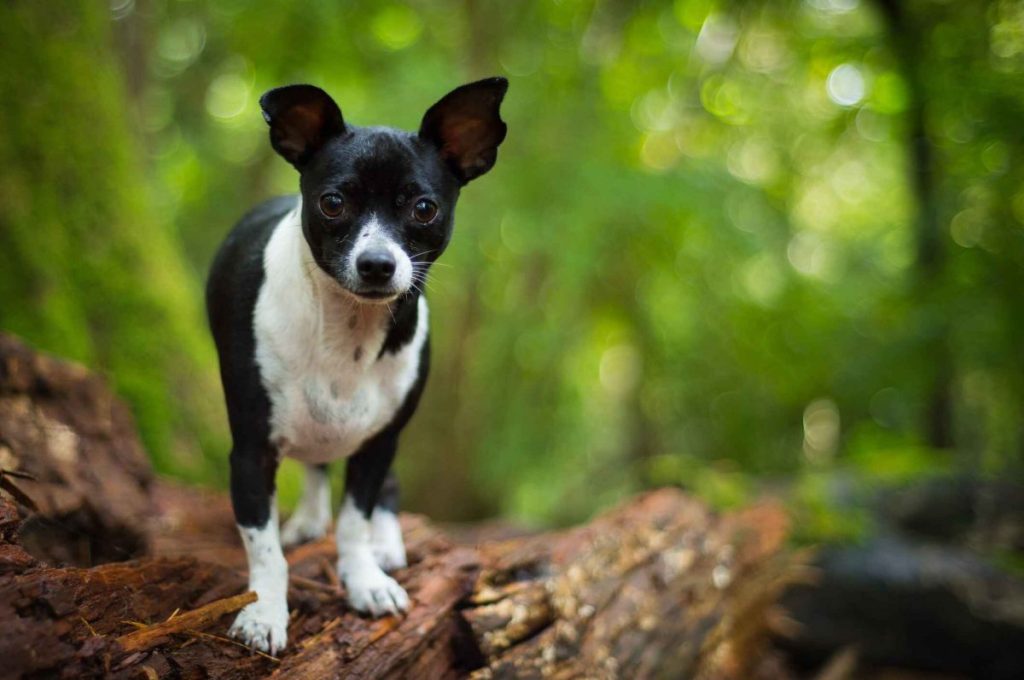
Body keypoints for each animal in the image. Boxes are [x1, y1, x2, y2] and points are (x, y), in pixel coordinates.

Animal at [206, 75, 507, 655]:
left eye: (424, 208)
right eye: (332, 202)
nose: (377, 263)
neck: (349, 333)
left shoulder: (379, 443)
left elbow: (354, 521)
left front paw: (365, 580)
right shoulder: (251, 452)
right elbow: (265, 549)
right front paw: (264, 613)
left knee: (381, 488)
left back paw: (385, 544)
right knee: (316, 465)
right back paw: (308, 520)